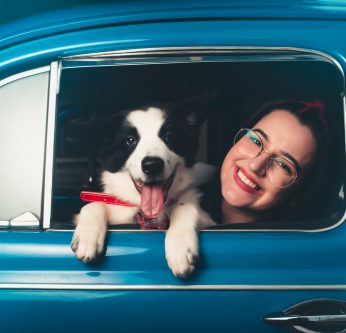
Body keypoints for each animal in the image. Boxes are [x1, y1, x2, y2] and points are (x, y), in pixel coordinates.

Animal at [71, 98, 215, 274]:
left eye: (169, 137)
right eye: (130, 140)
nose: (152, 165)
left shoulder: (207, 218)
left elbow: (185, 206)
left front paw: (181, 246)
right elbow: (93, 204)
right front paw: (87, 236)